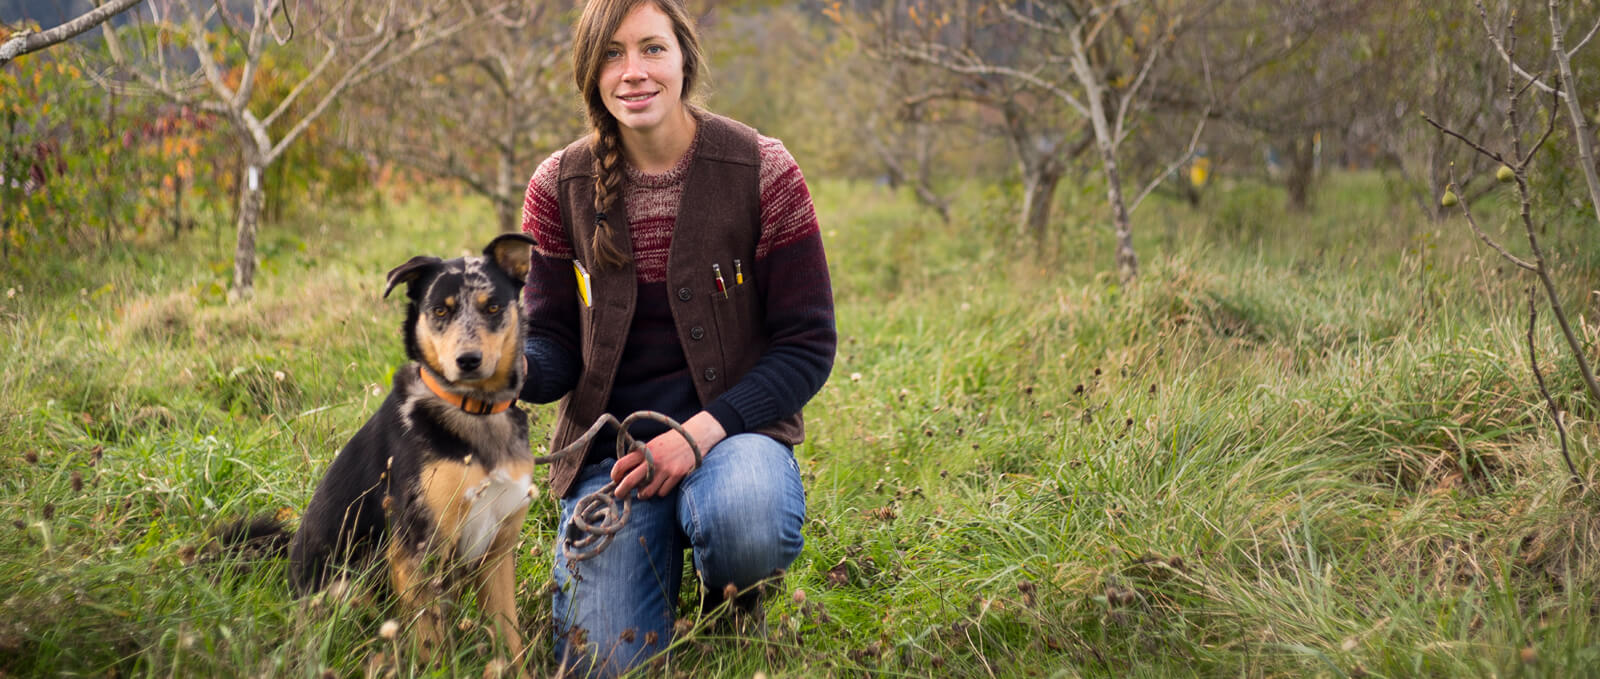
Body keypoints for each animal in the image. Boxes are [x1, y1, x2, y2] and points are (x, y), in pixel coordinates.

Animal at [284, 232, 540, 662]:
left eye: (492, 307)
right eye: (439, 311)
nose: (468, 360)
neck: (474, 410)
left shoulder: (498, 553)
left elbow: (511, 642)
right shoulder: (416, 551)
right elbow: (433, 647)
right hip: (351, 587)